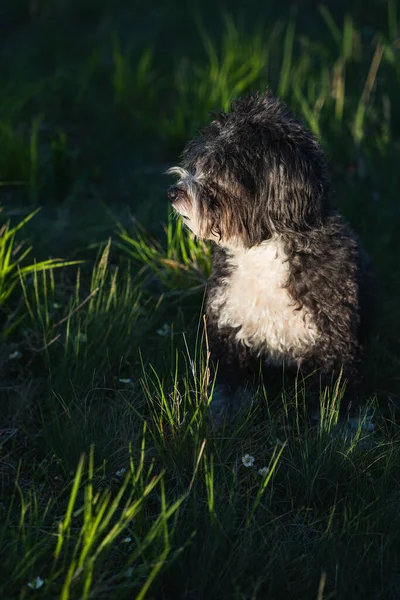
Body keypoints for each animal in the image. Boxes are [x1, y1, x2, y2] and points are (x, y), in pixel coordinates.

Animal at [166, 91, 376, 424]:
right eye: (197, 165)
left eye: (220, 173)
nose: (173, 192)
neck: (262, 250)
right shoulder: (229, 329)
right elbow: (229, 385)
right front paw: (223, 414)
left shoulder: (335, 333)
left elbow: (340, 387)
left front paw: (343, 424)